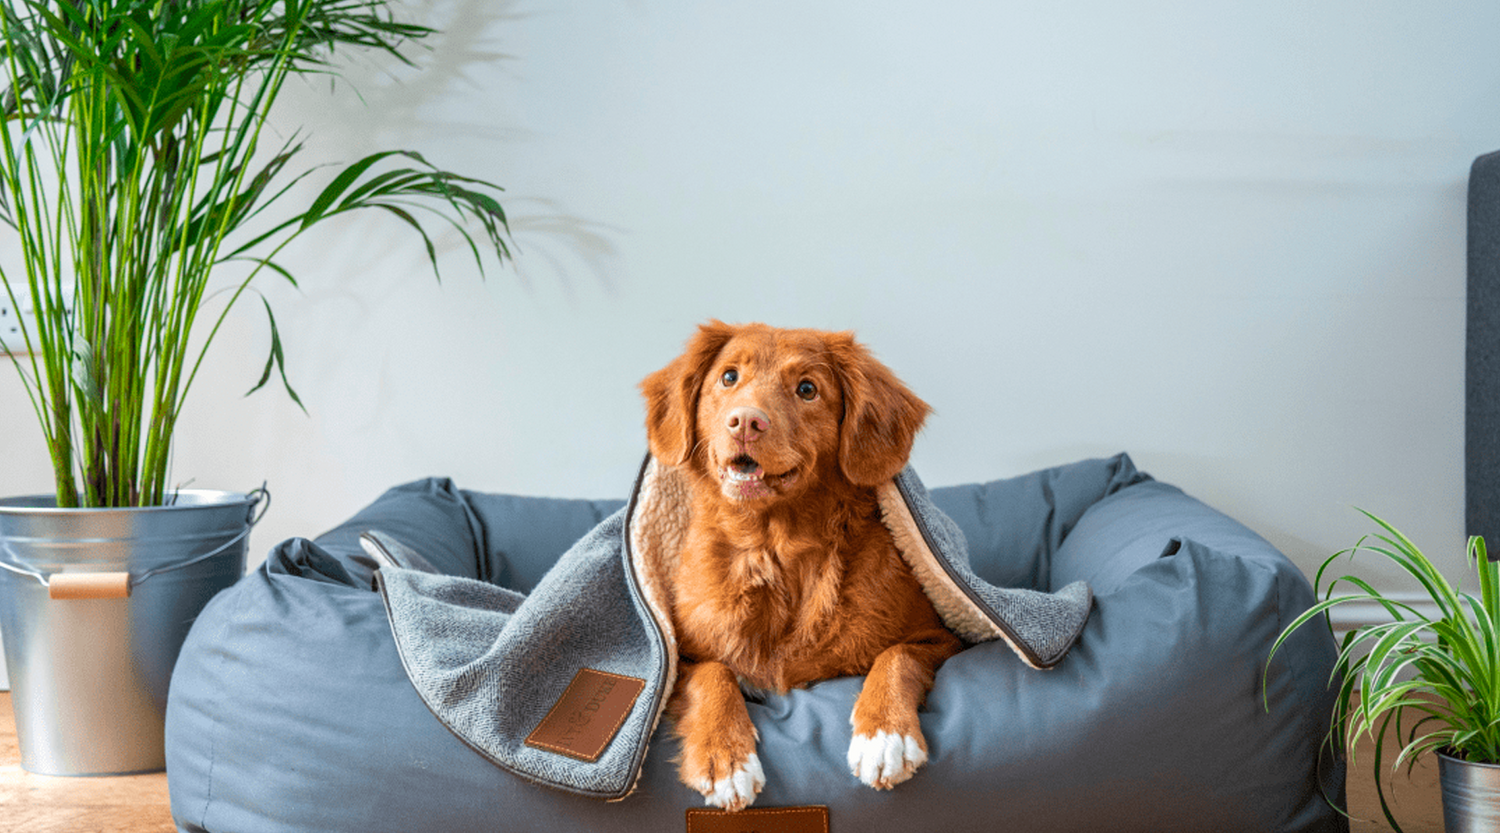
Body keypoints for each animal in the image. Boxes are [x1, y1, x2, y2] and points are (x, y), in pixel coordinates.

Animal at [636, 319, 960, 810]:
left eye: (807, 389)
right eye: (728, 377)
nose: (745, 421)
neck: (775, 550)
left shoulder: (941, 637)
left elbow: (897, 655)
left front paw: (884, 735)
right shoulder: (678, 658)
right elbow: (712, 673)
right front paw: (726, 757)